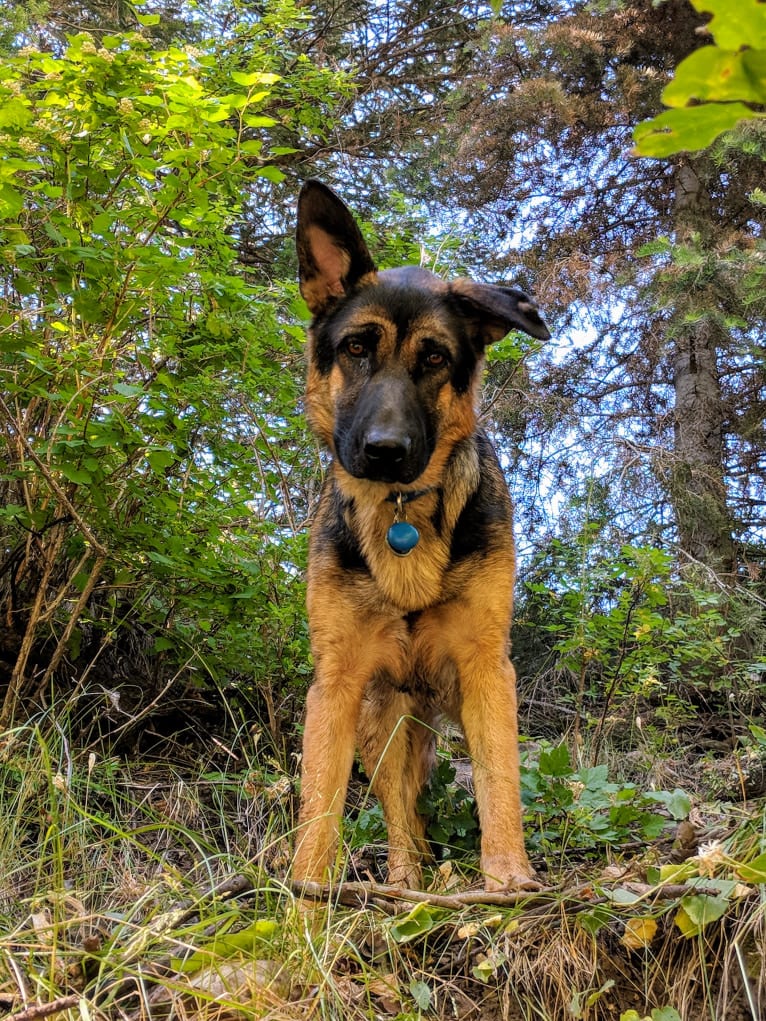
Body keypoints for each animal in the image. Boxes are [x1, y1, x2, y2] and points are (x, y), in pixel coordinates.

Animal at [294, 183, 551, 894]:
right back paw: (404, 880)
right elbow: (319, 805)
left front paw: (509, 882)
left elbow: (500, 784)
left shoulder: (488, 672)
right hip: (382, 723)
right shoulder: (337, 684)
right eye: (356, 348)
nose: (385, 452)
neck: (401, 512)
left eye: (435, 358)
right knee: (400, 814)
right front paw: (303, 899)